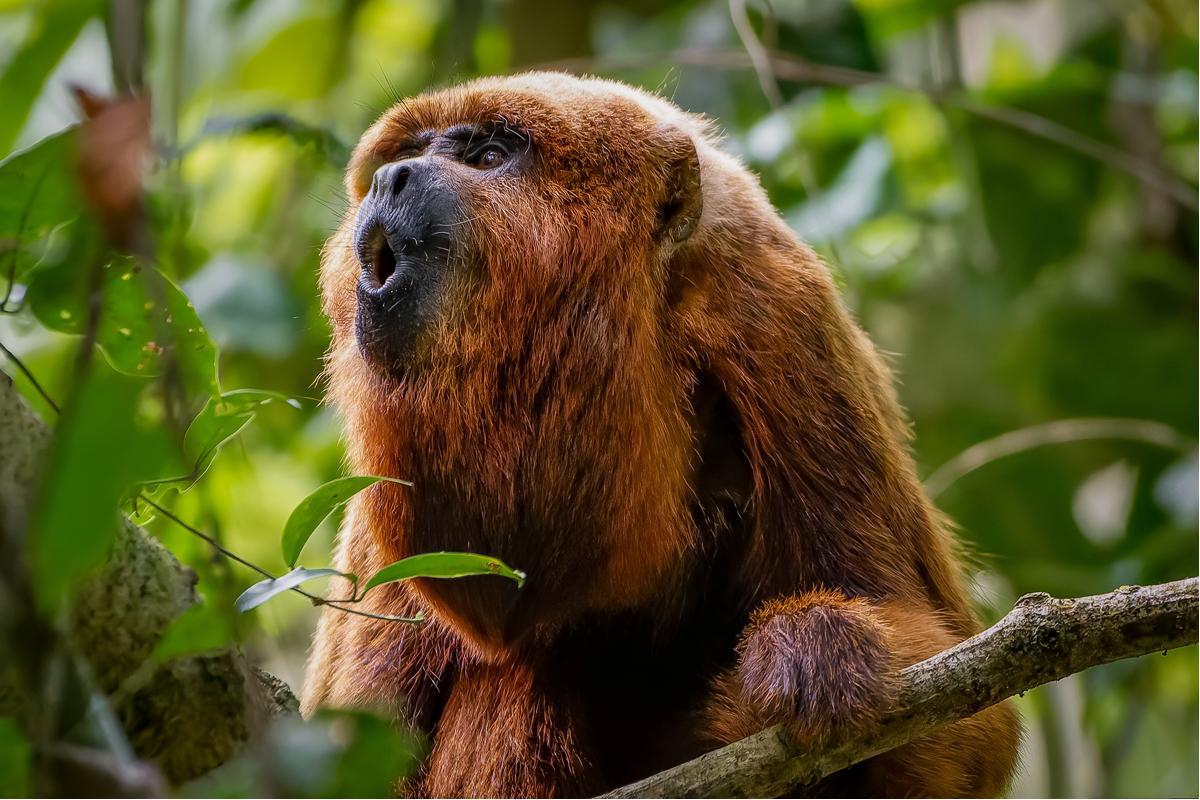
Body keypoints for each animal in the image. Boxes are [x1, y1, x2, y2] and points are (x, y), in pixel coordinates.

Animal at [303, 72, 1019, 797]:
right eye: (410, 152)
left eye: (488, 156)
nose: (391, 178)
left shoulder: (783, 321)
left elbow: (972, 726)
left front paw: (819, 651)